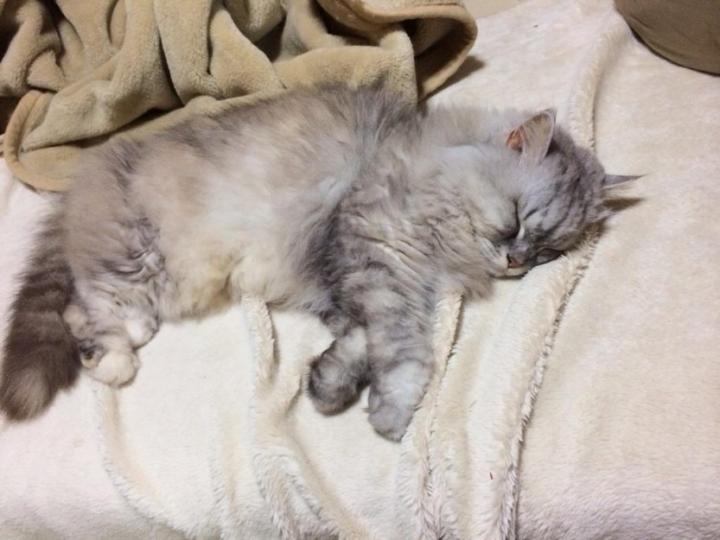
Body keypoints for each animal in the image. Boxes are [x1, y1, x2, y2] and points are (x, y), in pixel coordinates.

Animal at [0, 85, 636, 440]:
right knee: (88, 308)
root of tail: (90, 174)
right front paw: (391, 412)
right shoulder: (377, 257)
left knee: (84, 307)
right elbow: (406, 351)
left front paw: (328, 385)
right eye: (517, 221)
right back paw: (115, 357)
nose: (515, 262)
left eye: (547, 251)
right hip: (140, 256)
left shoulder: (351, 282)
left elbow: (355, 340)